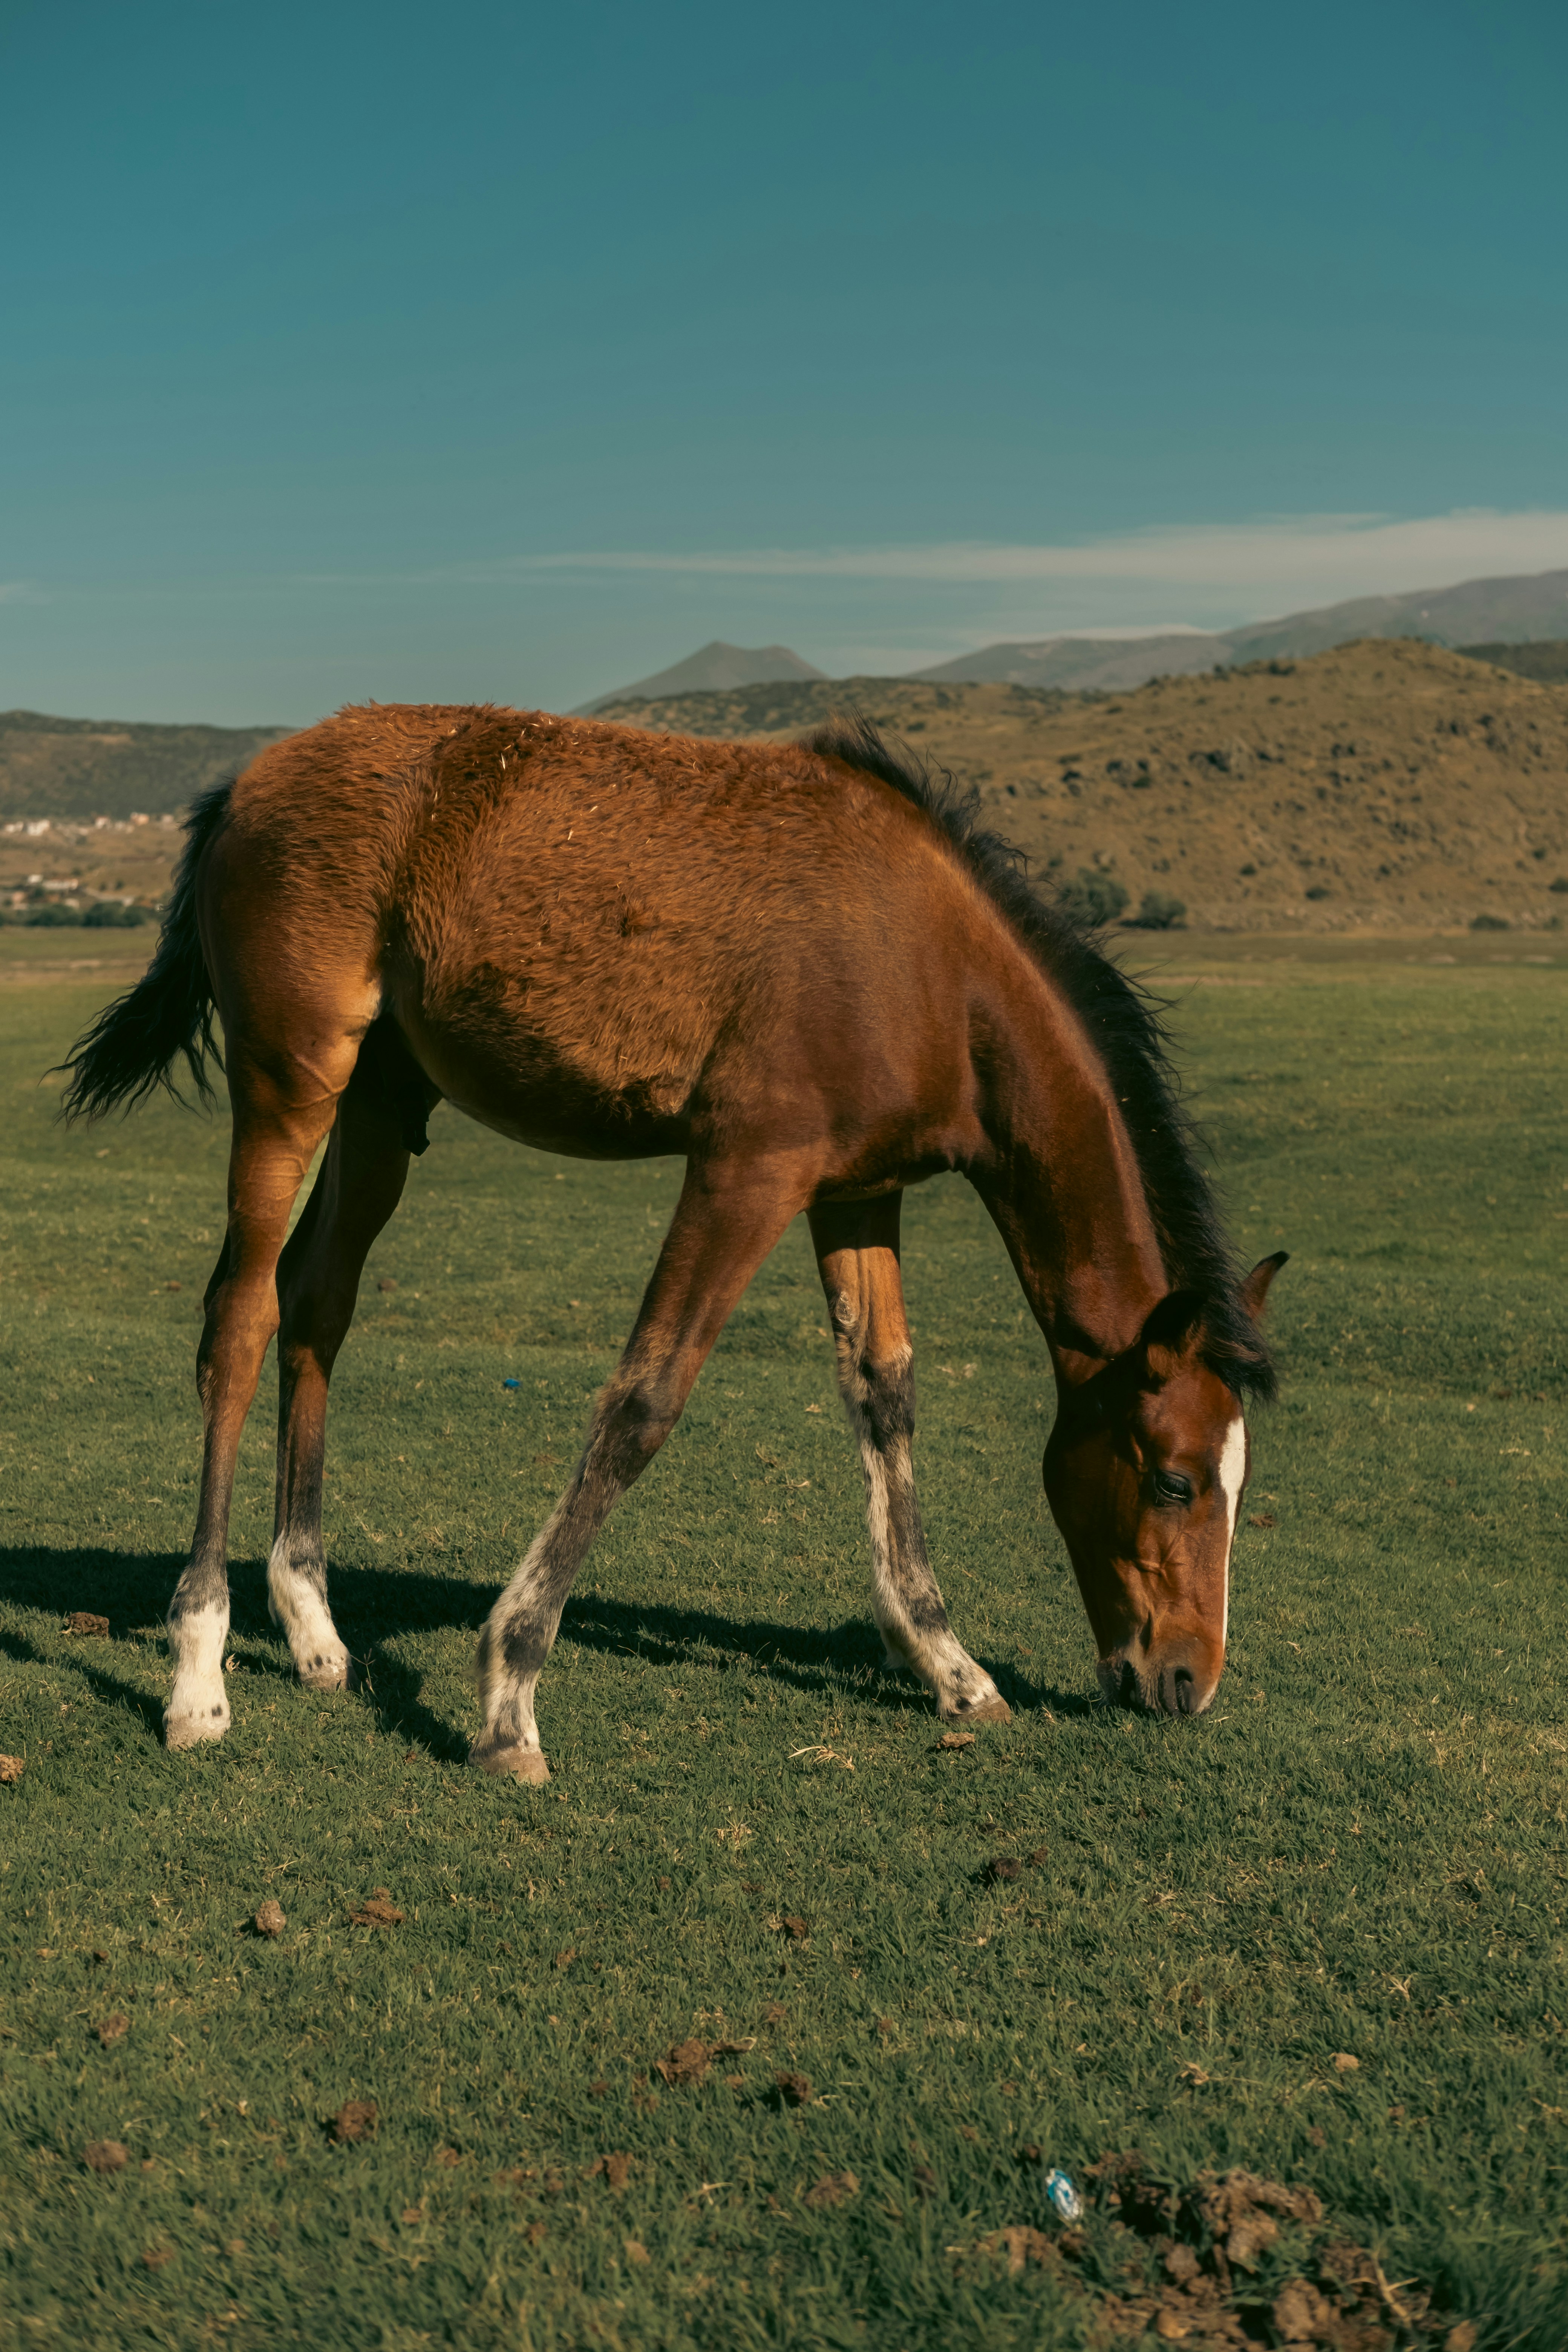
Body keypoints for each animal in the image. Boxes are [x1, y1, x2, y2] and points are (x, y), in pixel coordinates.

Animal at [64, 705, 1288, 1769]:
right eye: (1174, 1480)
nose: (1188, 1680)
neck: (932, 964)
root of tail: (244, 783)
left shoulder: (856, 1189)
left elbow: (882, 1394)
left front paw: (946, 1660)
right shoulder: (746, 1170)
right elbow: (644, 1400)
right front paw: (509, 1696)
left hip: (379, 1100)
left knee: (318, 1302)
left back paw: (313, 1626)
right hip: (290, 1079)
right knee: (240, 1318)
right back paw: (199, 1672)